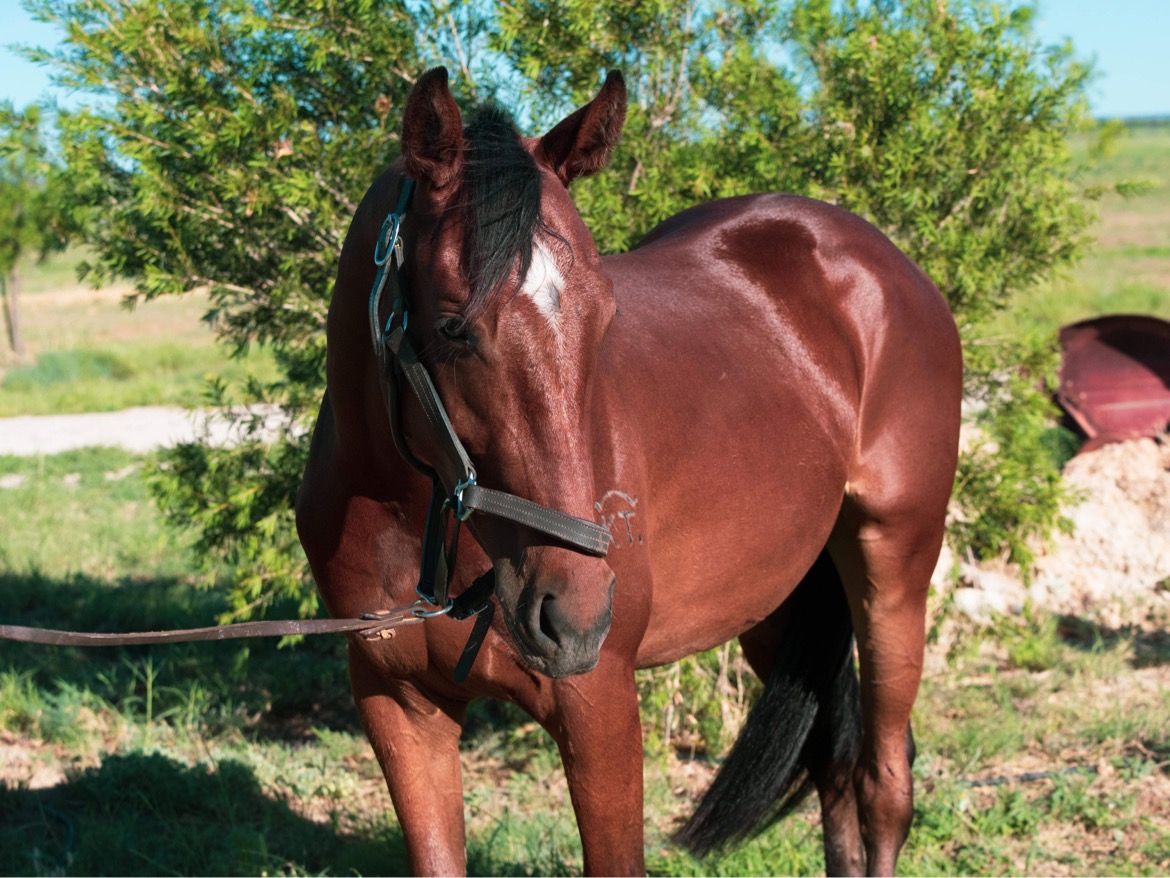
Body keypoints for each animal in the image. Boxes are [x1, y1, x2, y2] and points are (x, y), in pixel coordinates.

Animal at [295, 67, 962, 876]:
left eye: (604, 318)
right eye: (453, 328)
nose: (575, 615)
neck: (411, 520)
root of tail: (880, 262)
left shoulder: (599, 710)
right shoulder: (399, 708)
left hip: (893, 573)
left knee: (882, 783)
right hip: (775, 604)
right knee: (833, 772)